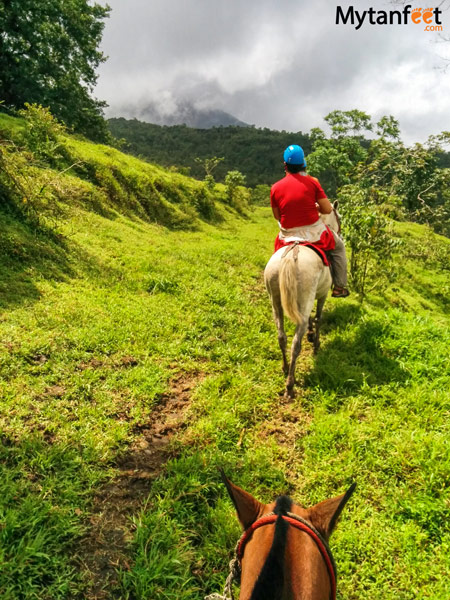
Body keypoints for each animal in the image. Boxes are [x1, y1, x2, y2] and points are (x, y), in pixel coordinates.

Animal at [264, 203, 342, 398]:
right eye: (339, 218)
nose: (340, 231)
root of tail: (292, 254)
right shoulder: (322, 294)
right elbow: (318, 318)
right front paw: (316, 344)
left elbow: (311, 319)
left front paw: (311, 334)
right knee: (295, 343)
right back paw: (290, 384)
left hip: (276, 302)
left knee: (282, 337)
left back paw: (285, 368)